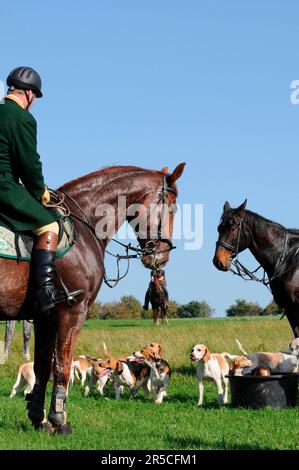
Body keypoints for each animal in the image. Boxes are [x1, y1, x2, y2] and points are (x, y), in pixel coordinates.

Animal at [0, 163, 185, 432]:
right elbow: (62, 366)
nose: (162, 258)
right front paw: (59, 420)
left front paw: (38, 418)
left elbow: (42, 367)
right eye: (171, 207)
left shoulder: (44, 317)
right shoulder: (71, 311)